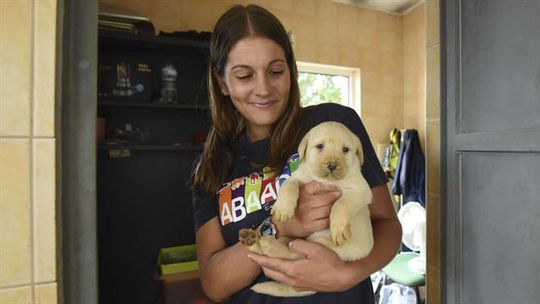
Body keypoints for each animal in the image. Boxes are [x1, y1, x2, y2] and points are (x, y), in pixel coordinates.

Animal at [238, 121, 374, 296]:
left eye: (345, 149)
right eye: (320, 146)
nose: (332, 165)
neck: (326, 180)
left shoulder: (360, 189)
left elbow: (341, 204)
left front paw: (338, 229)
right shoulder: (298, 177)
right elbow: (289, 186)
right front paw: (283, 208)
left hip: (323, 246)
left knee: (294, 254)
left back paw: (269, 246)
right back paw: (252, 240)